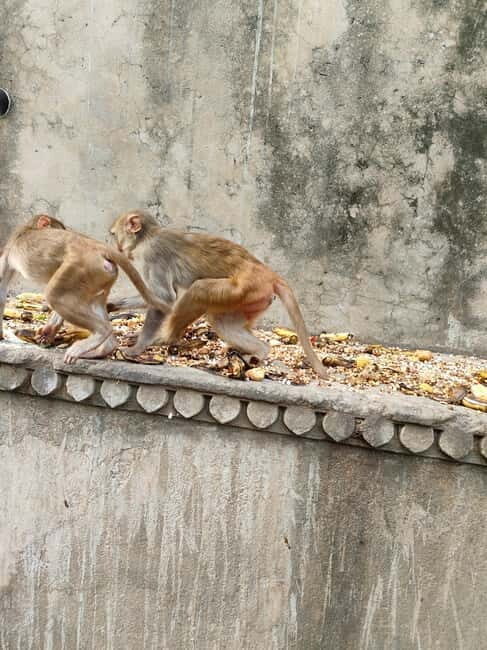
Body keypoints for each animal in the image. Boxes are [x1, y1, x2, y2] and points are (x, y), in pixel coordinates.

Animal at [0, 214, 170, 363]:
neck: (28, 229)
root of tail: (98, 247)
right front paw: (48, 331)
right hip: (103, 274)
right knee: (94, 301)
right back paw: (105, 348)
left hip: (80, 268)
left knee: (55, 295)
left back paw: (100, 333)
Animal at [108, 210, 328, 379]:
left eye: (113, 234)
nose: (113, 245)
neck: (148, 236)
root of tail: (270, 275)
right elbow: (154, 298)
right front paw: (112, 305)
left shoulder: (153, 254)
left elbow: (164, 298)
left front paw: (137, 348)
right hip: (253, 300)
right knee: (223, 321)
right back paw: (260, 350)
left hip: (244, 289)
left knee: (199, 290)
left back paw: (165, 338)